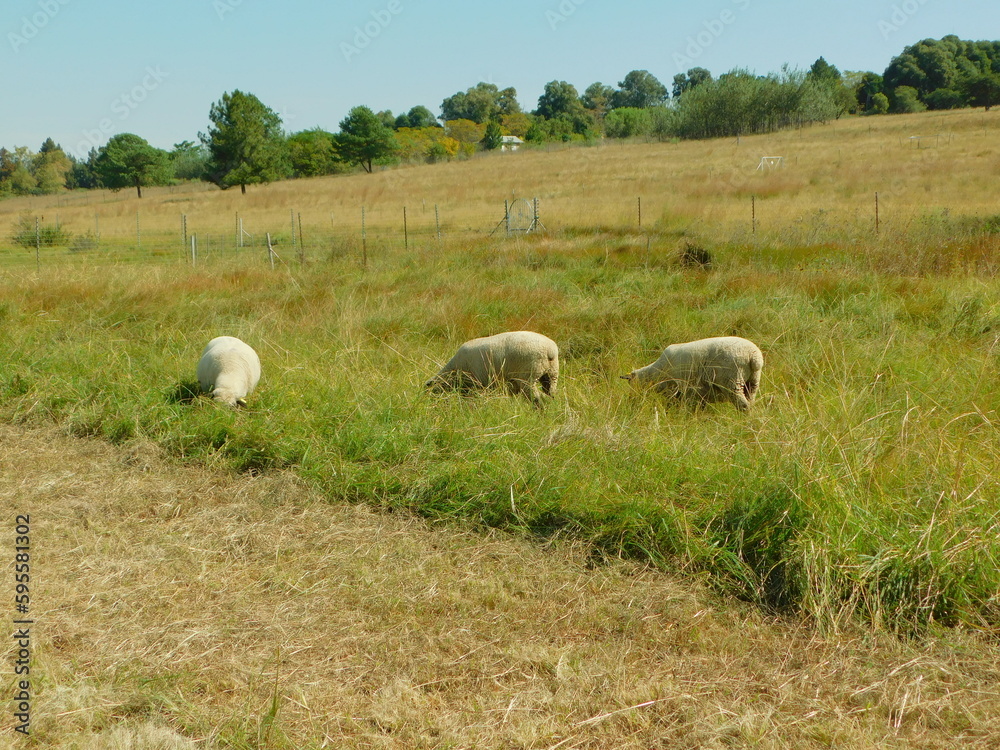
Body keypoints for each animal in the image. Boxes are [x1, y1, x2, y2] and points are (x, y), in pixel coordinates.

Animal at [424, 332, 560, 408]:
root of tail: (550, 351)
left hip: (528, 376)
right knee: (551, 394)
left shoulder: (476, 383)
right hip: (551, 374)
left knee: (537, 398)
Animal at [620, 338, 760, 414]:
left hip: (731, 381)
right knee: (750, 402)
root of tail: (753, 356)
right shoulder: (699, 395)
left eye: (631, 383)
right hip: (752, 383)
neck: (656, 372)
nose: (631, 400)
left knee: (743, 405)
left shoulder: (678, 390)